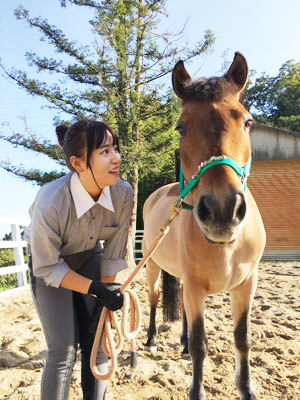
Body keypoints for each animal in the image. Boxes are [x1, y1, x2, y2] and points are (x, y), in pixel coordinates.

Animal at [142, 51, 264, 398]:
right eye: (181, 127)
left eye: (247, 121)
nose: (223, 209)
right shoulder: (196, 288)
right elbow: (200, 345)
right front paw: (196, 389)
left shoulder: (246, 285)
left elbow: (242, 339)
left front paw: (247, 389)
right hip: (152, 267)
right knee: (155, 300)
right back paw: (152, 340)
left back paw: (180, 342)